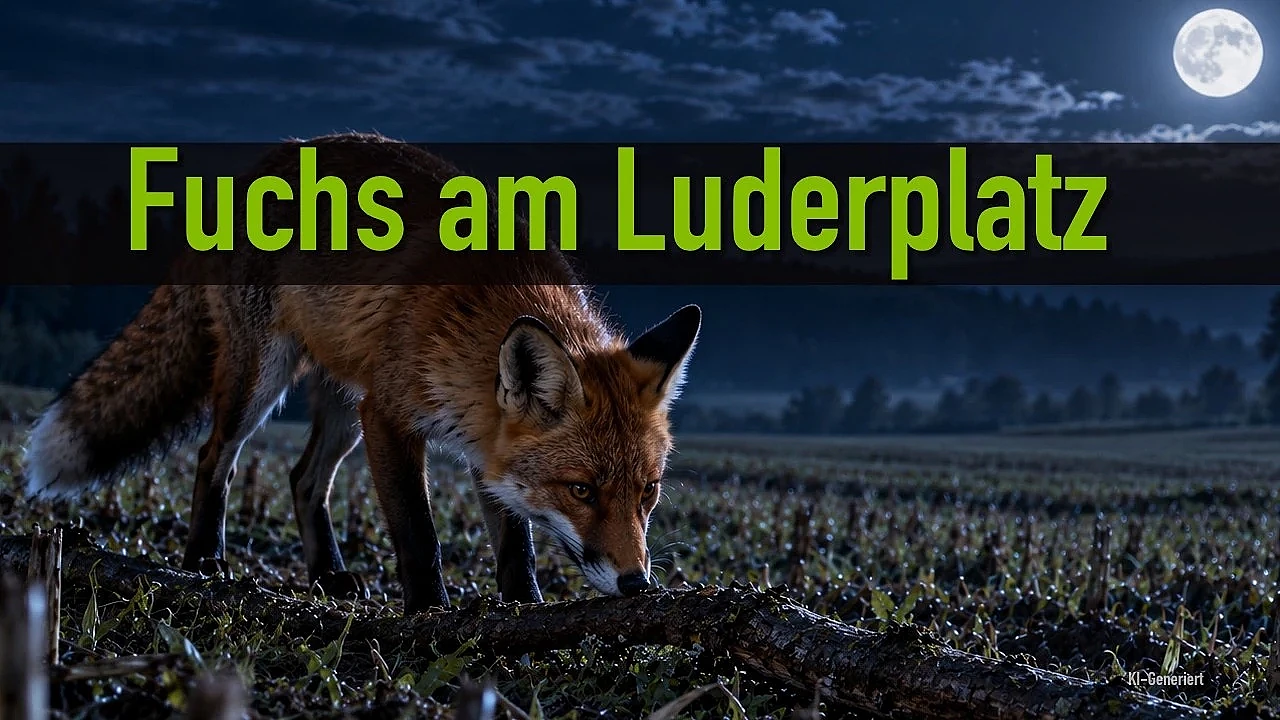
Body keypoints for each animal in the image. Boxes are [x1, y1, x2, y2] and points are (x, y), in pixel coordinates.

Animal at [21, 132, 702, 613]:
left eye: (648, 492)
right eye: (581, 490)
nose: (637, 585)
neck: (476, 313)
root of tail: (250, 170)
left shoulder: (483, 442)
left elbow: (515, 543)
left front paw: (522, 608)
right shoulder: (392, 416)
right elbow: (419, 535)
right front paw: (430, 615)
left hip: (345, 403)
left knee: (302, 479)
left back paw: (328, 575)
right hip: (264, 380)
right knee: (216, 457)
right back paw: (204, 560)